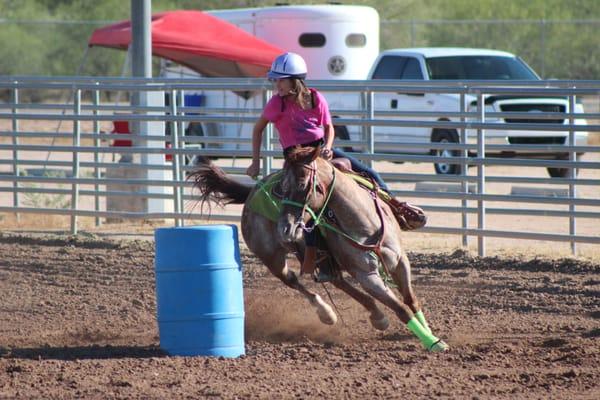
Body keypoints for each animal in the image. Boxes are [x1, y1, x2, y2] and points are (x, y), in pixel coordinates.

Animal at [190, 148, 448, 352]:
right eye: (281, 189)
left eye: (302, 184)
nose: (285, 228)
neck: (365, 224)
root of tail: (252, 191)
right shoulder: (367, 275)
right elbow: (401, 308)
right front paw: (432, 343)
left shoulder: (400, 261)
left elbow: (411, 300)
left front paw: (429, 332)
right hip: (271, 258)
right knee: (294, 280)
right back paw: (328, 313)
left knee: (337, 280)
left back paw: (376, 315)